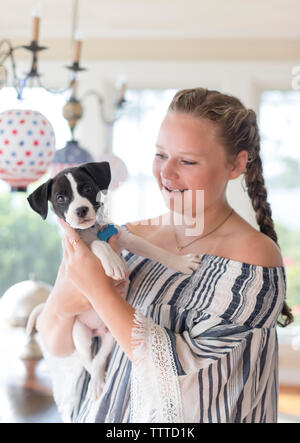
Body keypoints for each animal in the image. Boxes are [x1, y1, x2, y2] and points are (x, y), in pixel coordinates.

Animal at [25, 161, 199, 400]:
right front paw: (112, 261)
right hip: (79, 334)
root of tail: (98, 331)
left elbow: (154, 249)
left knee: (99, 359)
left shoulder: (126, 238)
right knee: (89, 363)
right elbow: (98, 245)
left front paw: (180, 262)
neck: (91, 230)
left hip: (110, 336)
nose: (81, 210)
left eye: (87, 188)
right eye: (60, 198)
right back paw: (97, 383)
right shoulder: (81, 250)